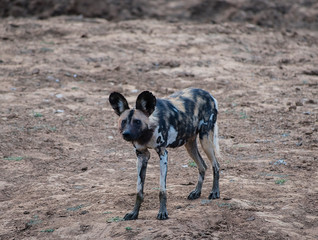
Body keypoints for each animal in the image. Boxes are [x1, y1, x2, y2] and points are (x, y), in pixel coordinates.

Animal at [108, 87, 220, 219]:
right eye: (124, 121)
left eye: (137, 121)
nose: (126, 134)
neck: (146, 134)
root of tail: (208, 94)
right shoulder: (142, 156)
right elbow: (139, 191)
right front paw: (134, 213)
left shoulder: (163, 154)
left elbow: (162, 190)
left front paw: (162, 212)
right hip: (189, 144)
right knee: (202, 166)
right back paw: (196, 192)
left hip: (205, 139)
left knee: (216, 165)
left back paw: (215, 192)